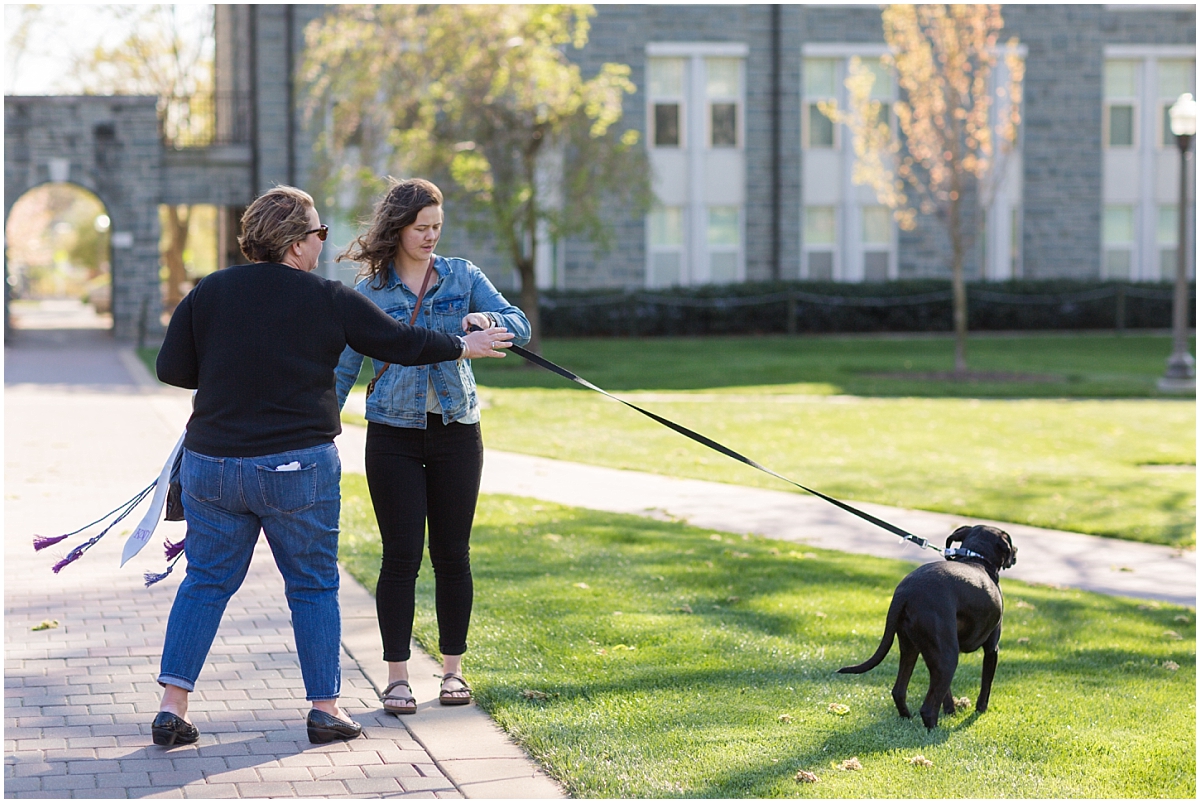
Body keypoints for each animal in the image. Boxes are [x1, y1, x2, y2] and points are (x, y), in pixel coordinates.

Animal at [840, 523, 1017, 729]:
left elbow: (946, 694)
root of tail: (905, 593)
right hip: (948, 657)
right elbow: (985, 687)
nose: (1016, 551)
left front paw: (951, 711)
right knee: (927, 709)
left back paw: (907, 718)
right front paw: (980, 711)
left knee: (899, 691)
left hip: (912, 648)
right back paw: (934, 730)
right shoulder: (992, 649)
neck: (976, 558)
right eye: (1010, 541)